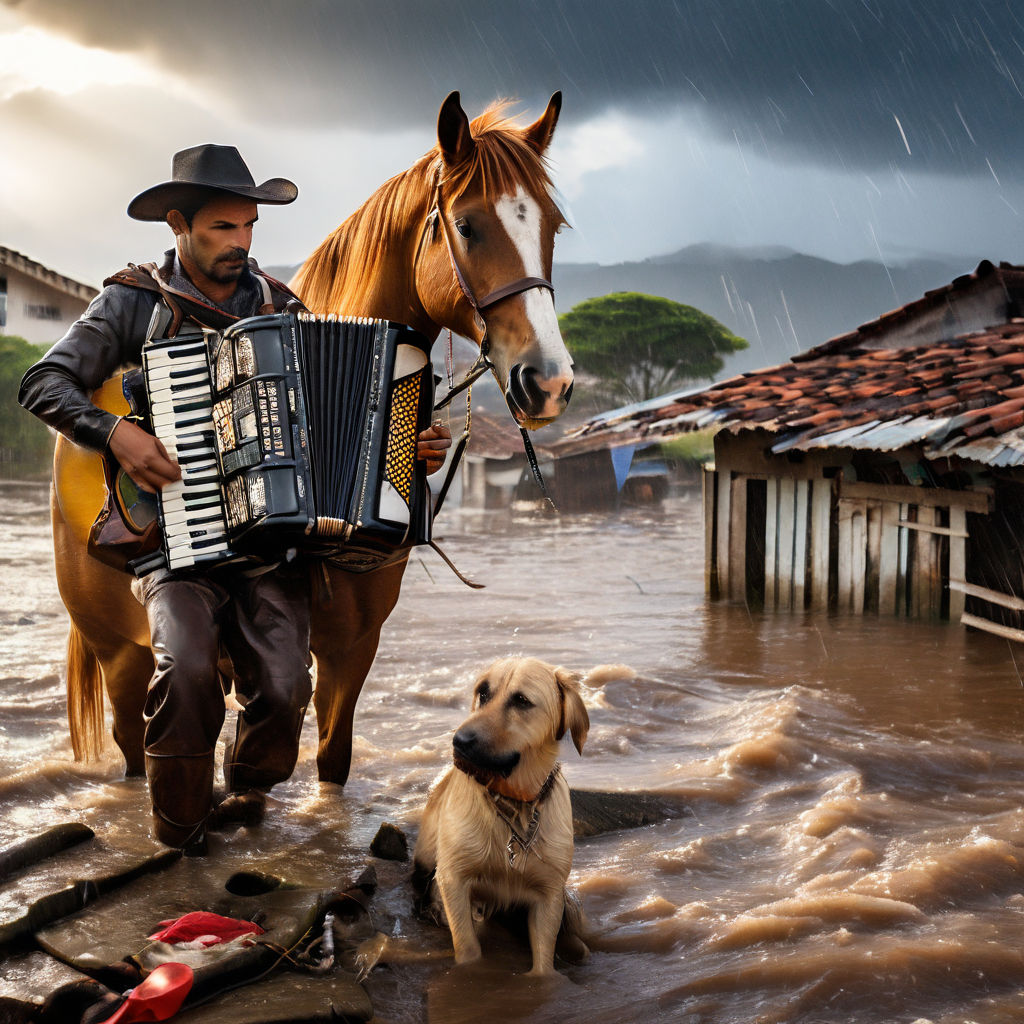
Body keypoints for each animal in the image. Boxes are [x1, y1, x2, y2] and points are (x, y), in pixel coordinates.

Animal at [54, 94, 577, 782]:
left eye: (552, 228)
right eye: (467, 227)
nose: (549, 381)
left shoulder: (353, 647)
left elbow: (329, 756)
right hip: (119, 650)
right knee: (140, 743)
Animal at [409, 659, 589, 970]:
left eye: (521, 701)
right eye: (483, 693)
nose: (458, 742)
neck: (515, 806)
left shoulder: (550, 894)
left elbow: (544, 961)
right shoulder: (453, 878)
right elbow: (468, 946)